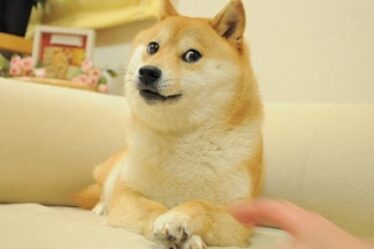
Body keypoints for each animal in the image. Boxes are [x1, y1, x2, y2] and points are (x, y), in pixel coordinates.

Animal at [75, 0, 262, 248]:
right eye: (153, 47)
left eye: (192, 55)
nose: (147, 71)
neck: (181, 135)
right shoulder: (127, 195)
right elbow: (153, 208)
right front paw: (166, 223)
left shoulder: (238, 220)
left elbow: (200, 206)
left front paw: (180, 222)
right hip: (115, 169)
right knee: (103, 191)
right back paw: (100, 207)